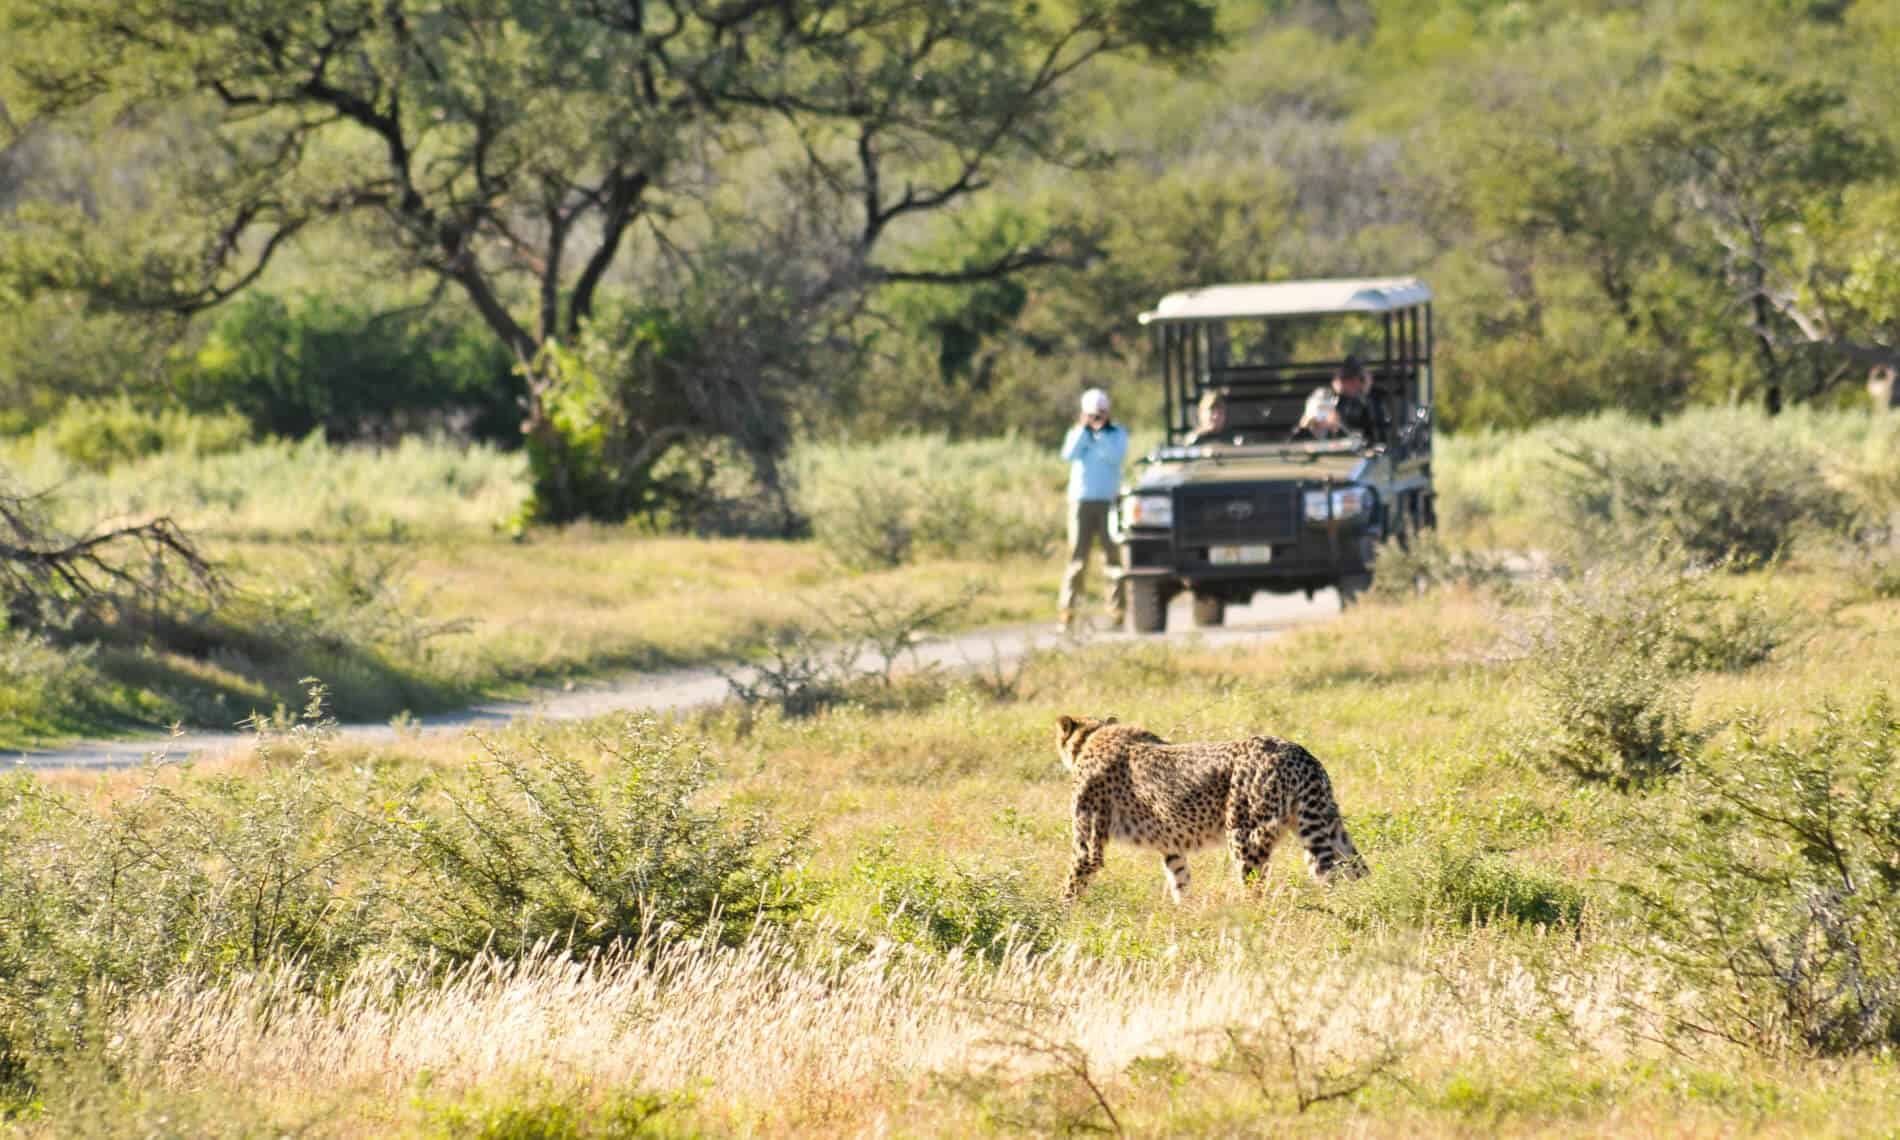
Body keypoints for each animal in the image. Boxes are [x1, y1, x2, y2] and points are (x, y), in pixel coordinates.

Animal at [1054, 714, 1369, 902]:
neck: (1092, 738)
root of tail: (1296, 750)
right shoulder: (1171, 844)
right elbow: (1180, 879)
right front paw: (1185, 914)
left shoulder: (1087, 846)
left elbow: (1072, 883)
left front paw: (1062, 917)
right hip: (1328, 825)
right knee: (1359, 871)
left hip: (1246, 838)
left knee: (1256, 890)